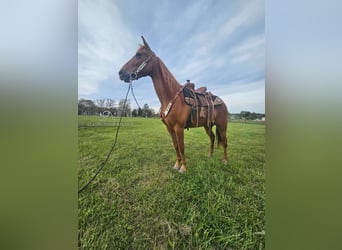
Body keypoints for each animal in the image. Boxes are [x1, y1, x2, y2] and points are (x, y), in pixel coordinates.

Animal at [117, 36, 227, 172]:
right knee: (212, 137)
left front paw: (183, 167)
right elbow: (175, 146)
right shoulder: (169, 128)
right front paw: (176, 164)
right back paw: (210, 155)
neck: (170, 97)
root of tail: (222, 101)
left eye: (139, 55)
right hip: (207, 125)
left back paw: (225, 160)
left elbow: (182, 146)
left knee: (225, 141)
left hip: (222, 125)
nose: (121, 73)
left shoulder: (179, 128)